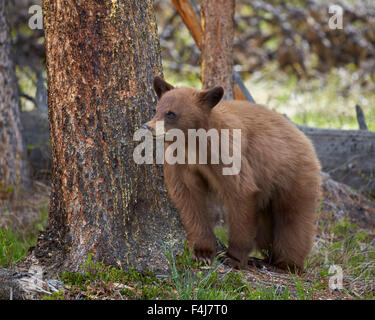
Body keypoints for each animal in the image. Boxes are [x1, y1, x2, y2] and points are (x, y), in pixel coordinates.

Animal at [142, 76, 322, 272]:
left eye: (171, 113)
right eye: (156, 109)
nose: (148, 126)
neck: (193, 144)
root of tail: (304, 138)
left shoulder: (226, 151)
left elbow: (240, 193)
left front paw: (234, 258)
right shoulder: (181, 162)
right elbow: (188, 198)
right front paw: (202, 252)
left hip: (292, 174)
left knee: (293, 219)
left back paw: (286, 264)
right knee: (264, 229)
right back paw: (263, 259)